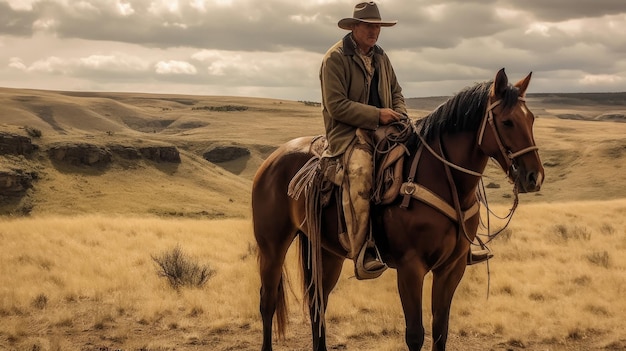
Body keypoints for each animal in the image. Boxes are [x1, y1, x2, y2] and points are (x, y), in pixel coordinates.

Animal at [251, 69, 544, 351]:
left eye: (531, 119)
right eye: (507, 122)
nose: (534, 177)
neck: (441, 177)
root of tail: (272, 161)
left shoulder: (452, 267)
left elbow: (440, 332)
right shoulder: (410, 267)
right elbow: (415, 335)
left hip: (326, 251)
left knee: (317, 303)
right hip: (272, 246)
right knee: (268, 302)